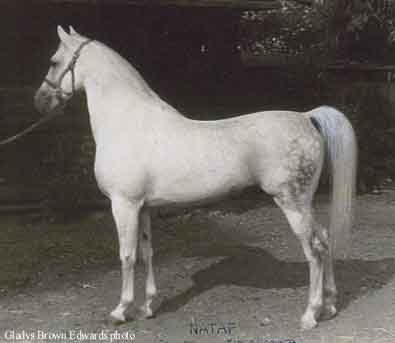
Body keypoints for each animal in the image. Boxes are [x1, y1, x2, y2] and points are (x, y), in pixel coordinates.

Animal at [34, 25, 358, 332]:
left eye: (53, 61)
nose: (40, 101)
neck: (128, 122)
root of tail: (306, 117)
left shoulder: (123, 205)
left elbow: (126, 256)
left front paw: (120, 311)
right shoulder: (144, 207)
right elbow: (147, 252)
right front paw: (147, 307)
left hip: (292, 202)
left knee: (314, 251)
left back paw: (310, 315)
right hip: (305, 203)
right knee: (325, 239)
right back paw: (330, 305)